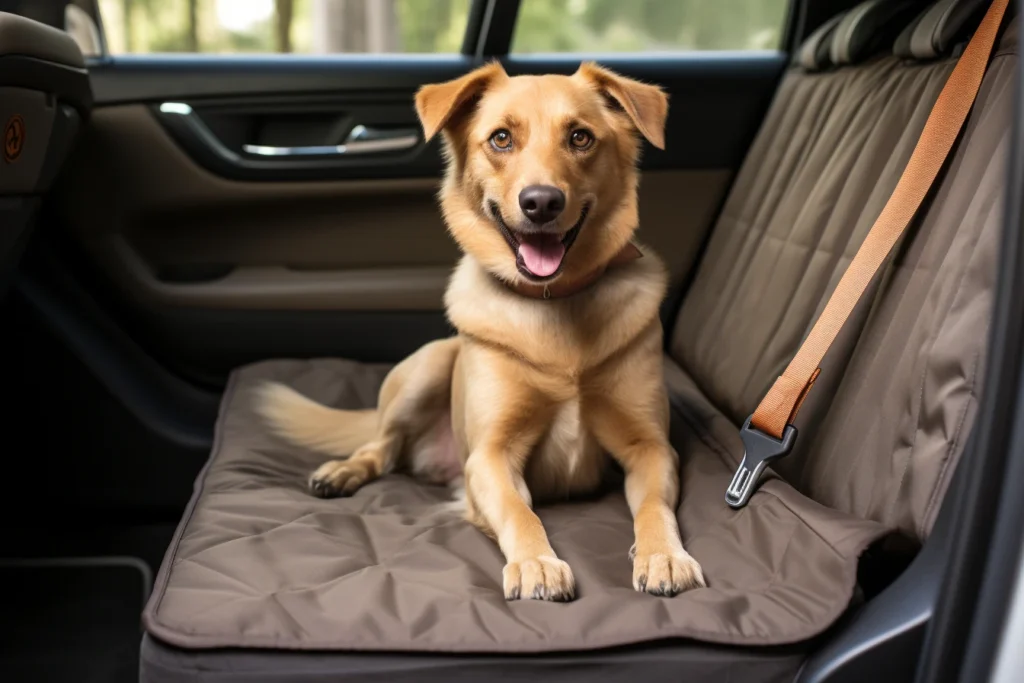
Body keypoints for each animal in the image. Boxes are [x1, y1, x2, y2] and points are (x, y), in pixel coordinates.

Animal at [254, 61, 704, 602]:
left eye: (580, 137)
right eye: (501, 139)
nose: (541, 202)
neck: (554, 304)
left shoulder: (650, 447)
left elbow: (654, 507)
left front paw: (663, 555)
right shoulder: (490, 457)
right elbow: (520, 511)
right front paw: (536, 563)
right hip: (429, 365)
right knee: (381, 446)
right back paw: (344, 470)